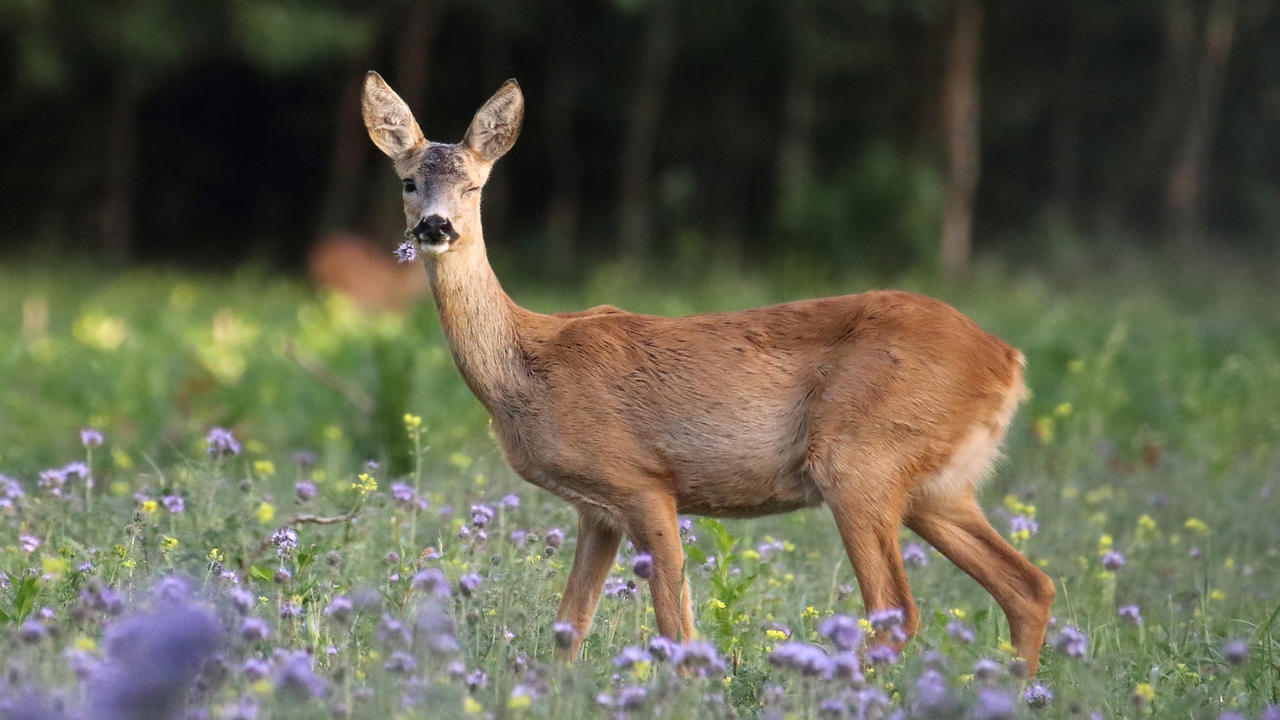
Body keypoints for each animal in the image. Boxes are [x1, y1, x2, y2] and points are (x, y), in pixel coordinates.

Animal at [363, 70, 1059, 671]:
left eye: (475, 187)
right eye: (408, 182)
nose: (435, 226)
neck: (527, 370)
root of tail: (1008, 358)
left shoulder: (642, 480)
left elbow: (677, 629)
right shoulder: (596, 510)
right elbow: (571, 628)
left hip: (861, 457)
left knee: (898, 612)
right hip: (939, 487)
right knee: (1029, 586)